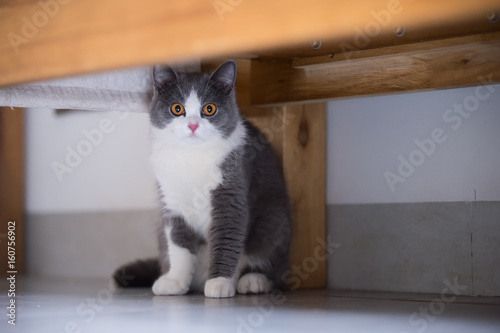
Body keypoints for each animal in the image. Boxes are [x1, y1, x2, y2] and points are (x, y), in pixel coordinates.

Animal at [112, 61, 292, 296]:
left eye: (209, 109)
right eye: (177, 108)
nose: (193, 125)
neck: (191, 156)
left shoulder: (231, 193)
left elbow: (226, 238)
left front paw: (219, 283)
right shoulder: (172, 202)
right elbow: (178, 244)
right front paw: (175, 280)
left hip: (273, 220)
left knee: (272, 263)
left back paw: (253, 280)